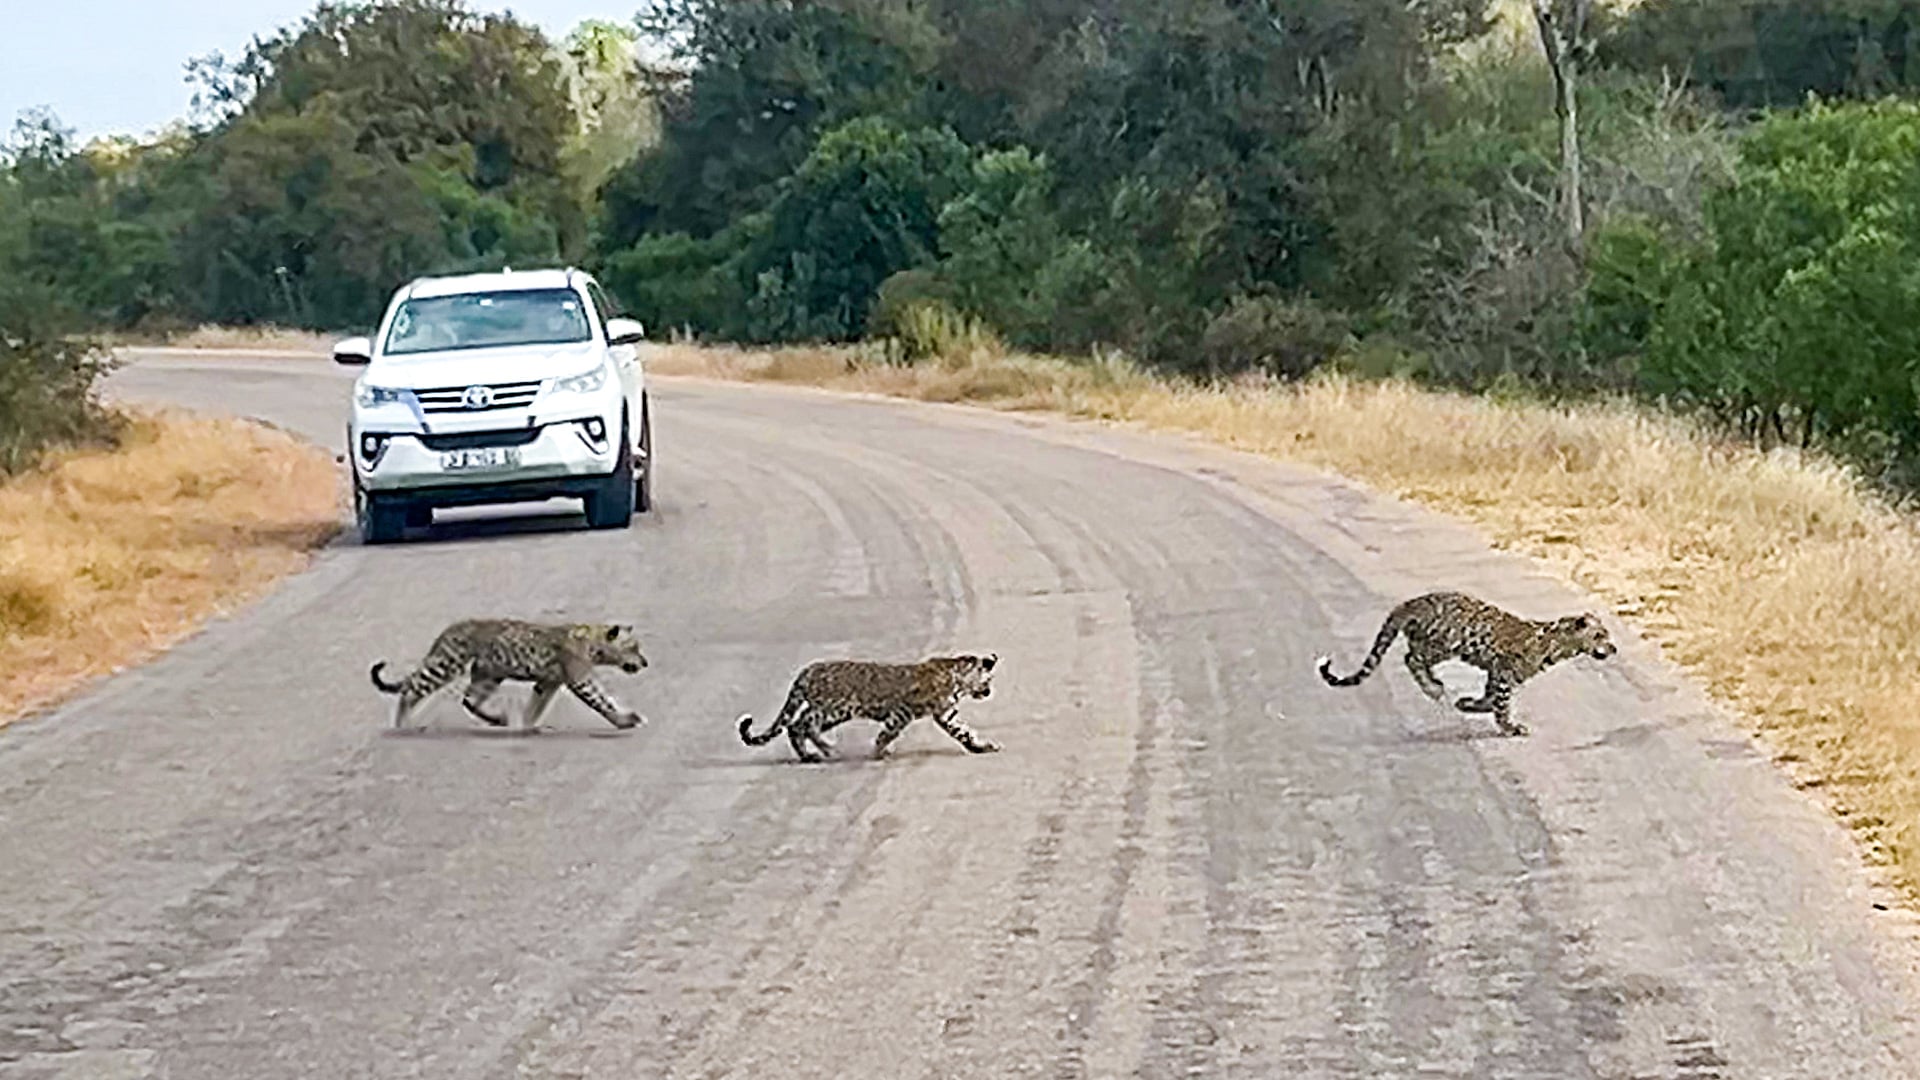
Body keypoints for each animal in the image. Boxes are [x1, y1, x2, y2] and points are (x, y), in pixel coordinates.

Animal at [370, 618, 649, 732]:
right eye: (633, 647)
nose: (645, 663)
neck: (594, 642)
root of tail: (447, 630)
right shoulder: (581, 680)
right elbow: (603, 702)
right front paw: (626, 720)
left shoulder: (547, 683)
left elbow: (535, 706)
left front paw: (528, 725)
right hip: (447, 664)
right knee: (411, 689)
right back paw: (403, 724)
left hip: (488, 675)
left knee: (469, 700)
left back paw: (499, 719)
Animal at [738, 653, 1001, 763]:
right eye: (988, 680)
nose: (989, 692)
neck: (957, 680)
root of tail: (807, 670)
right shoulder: (903, 711)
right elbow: (887, 732)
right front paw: (879, 752)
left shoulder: (947, 714)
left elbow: (964, 732)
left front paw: (982, 747)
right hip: (835, 707)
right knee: (803, 724)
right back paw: (827, 750)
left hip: (830, 713)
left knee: (797, 725)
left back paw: (810, 755)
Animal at [1315, 590, 1616, 736]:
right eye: (1600, 635)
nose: (1613, 648)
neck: (1557, 644)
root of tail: (1410, 603)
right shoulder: (1504, 672)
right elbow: (1501, 705)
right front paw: (1510, 728)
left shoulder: (1497, 672)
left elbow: (1490, 697)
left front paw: (1469, 704)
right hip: (1445, 642)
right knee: (1411, 658)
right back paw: (1433, 688)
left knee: (1413, 656)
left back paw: (1435, 684)